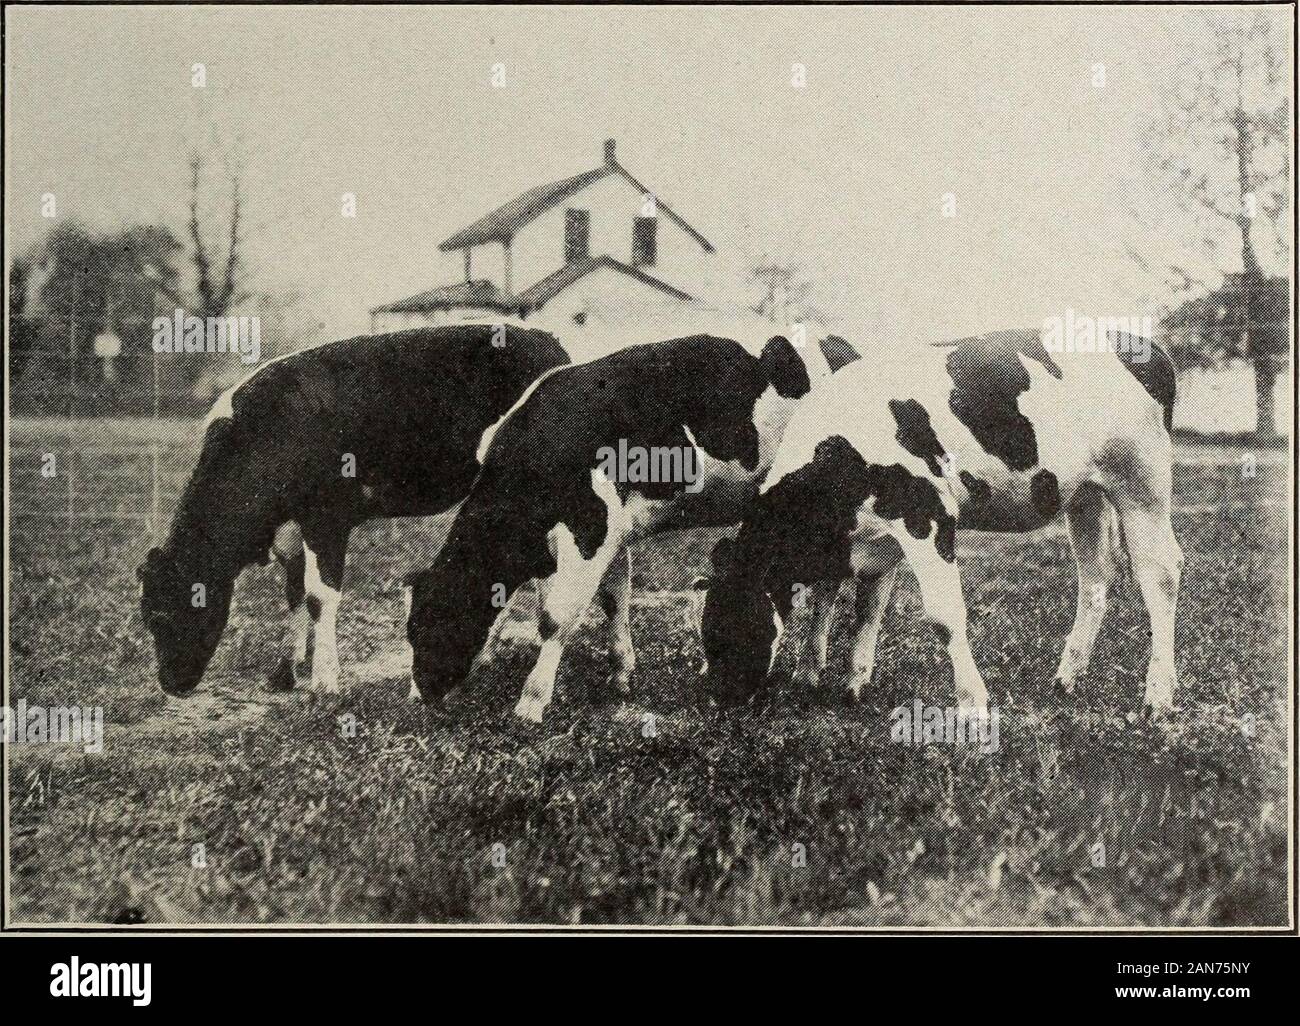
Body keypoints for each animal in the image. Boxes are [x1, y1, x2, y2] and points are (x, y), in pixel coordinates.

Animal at [139, 326, 572, 697]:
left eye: (163, 616)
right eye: (148, 617)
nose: (170, 684)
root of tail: (544, 338)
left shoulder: (327, 518)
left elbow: (319, 596)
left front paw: (324, 682)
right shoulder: (292, 530)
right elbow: (294, 593)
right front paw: (284, 672)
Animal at [403, 331, 821, 717]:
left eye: (439, 625)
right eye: (410, 632)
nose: (420, 697)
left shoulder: (592, 530)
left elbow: (555, 617)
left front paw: (531, 703)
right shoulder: (607, 533)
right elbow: (612, 598)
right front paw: (622, 675)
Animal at [702, 331, 1180, 717]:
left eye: (733, 628)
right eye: (706, 632)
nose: (720, 699)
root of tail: (1145, 344)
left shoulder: (928, 514)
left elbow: (944, 616)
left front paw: (973, 704)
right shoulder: (875, 538)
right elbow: (856, 608)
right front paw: (842, 683)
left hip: (1142, 482)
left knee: (1161, 574)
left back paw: (1158, 697)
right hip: (1086, 494)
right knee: (1095, 578)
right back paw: (1066, 679)